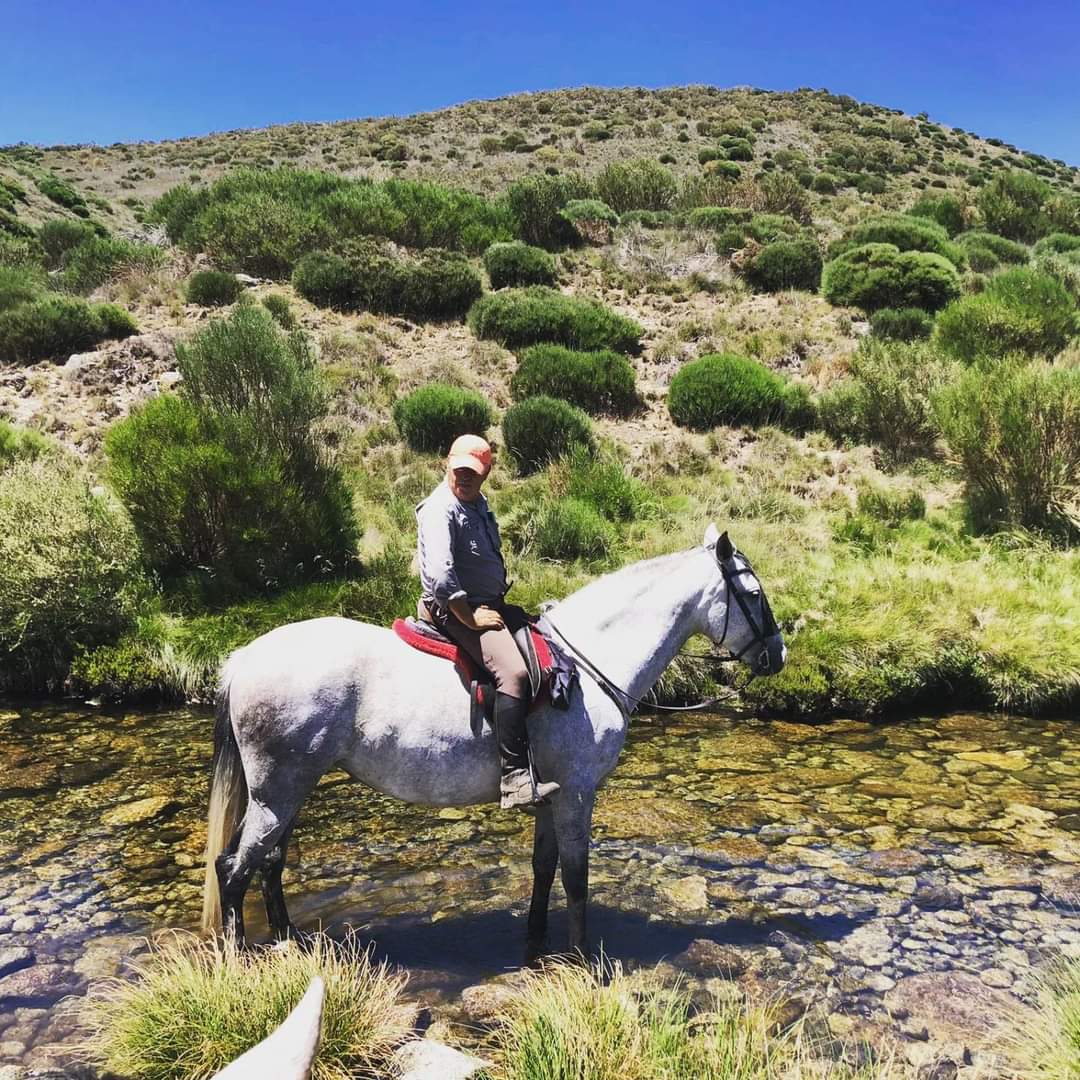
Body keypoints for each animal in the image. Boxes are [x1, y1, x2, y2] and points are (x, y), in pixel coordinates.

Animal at [201, 525, 786, 957]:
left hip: (289, 791)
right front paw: (583, 960)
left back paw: (288, 940)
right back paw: (238, 957)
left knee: (270, 862)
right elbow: (577, 876)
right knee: (234, 868)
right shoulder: (578, 792)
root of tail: (244, 657)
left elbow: (544, 869)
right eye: (754, 594)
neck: (587, 665)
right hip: (278, 791)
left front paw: (536, 943)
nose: (776, 656)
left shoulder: (552, 794)